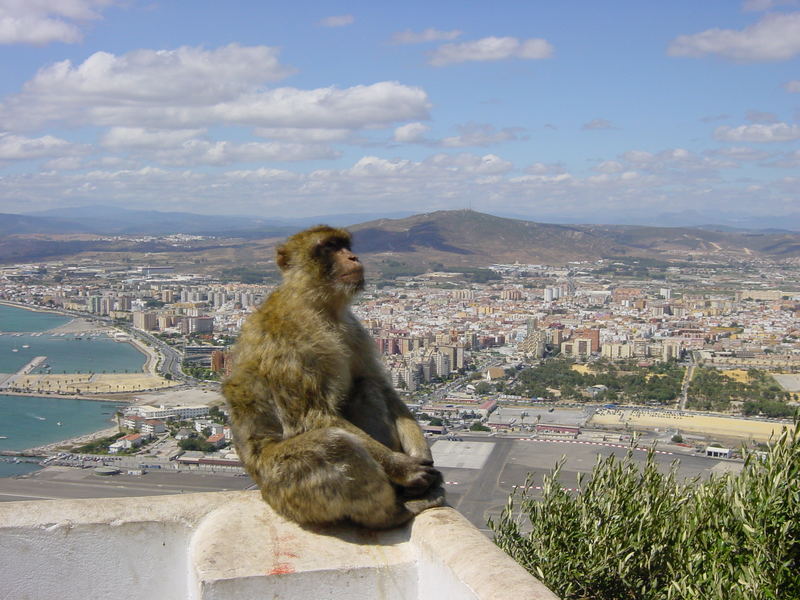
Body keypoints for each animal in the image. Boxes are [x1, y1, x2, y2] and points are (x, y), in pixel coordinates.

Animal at [222, 225, 444, 528]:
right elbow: (313, 416)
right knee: (334, 444)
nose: (353, 257)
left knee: (368, 388)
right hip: (286, 489)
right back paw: (392, 514)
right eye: (329, 247)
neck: (316, 306)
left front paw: (421, 454)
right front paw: (405, 467)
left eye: (345, 245)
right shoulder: (287, 340)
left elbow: (383, 387)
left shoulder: (353, 329)